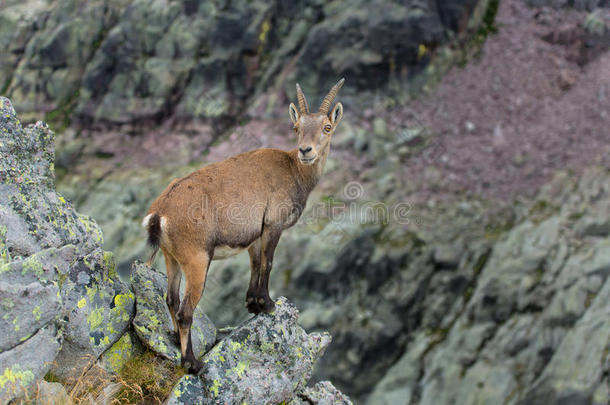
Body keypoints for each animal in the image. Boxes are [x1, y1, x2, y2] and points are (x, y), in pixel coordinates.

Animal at [140, 79, 344, 372]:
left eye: (326, 127)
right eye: (296, 128)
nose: (306, 151)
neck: (293, 169)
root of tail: (160, 213)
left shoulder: (255, 234)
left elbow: (255, 263)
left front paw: (253, 304)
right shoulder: (272, 224)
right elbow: (268, 262)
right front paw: (268, 304)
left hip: (171, 257)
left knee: (171, 299)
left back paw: (176, 342)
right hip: (197, 259)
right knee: (185, 311)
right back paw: (192, 363)